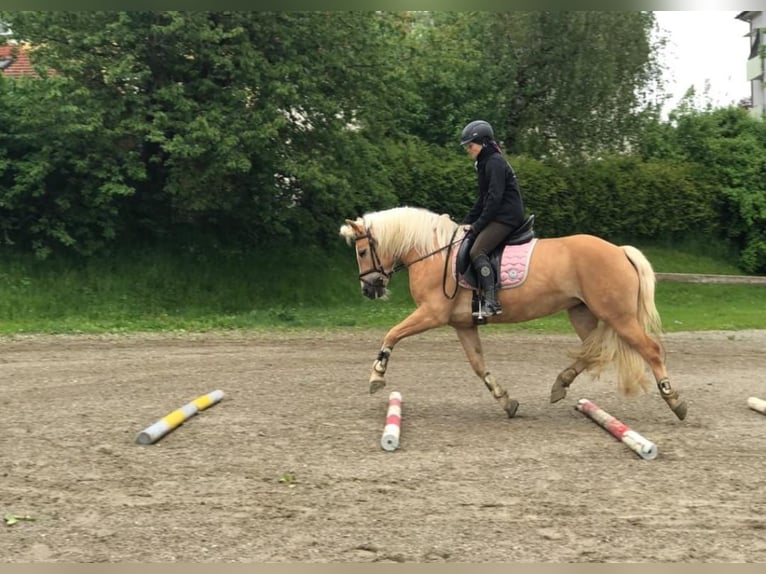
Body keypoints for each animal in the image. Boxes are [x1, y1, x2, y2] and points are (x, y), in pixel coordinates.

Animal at [339, 205, 687, 421]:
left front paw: (376, 376)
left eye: (361, 251)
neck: (433, 253)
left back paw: (675, 401)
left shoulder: (431, 313)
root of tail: (619, 251)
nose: (369, 288)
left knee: (650, 350)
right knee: (594, 352)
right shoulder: (463, 324)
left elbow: (392, 334)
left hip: (619, 317)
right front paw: (506, 401)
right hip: (582, 313)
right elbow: (478, 365)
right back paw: (559, 385)